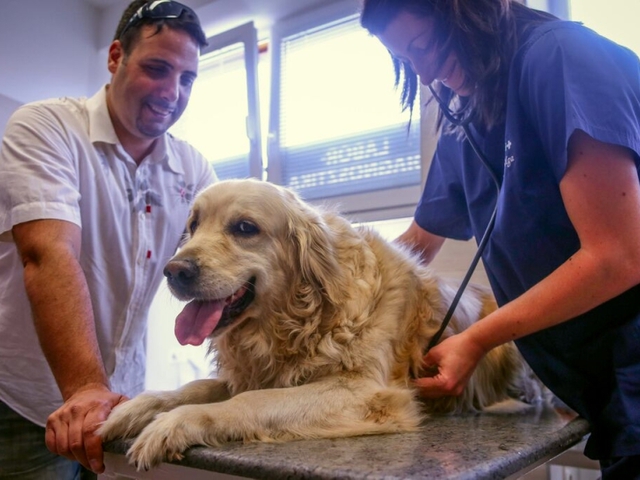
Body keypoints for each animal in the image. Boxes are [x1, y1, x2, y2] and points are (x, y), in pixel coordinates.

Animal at [97, 178, 544, 466]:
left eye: (244, 228)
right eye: (192, 226)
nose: (174, 270)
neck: (303, 319)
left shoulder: (365, 393)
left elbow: (249, 402)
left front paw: (174, 425)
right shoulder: (257, 372)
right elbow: (192, 388)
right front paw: (132, 411)